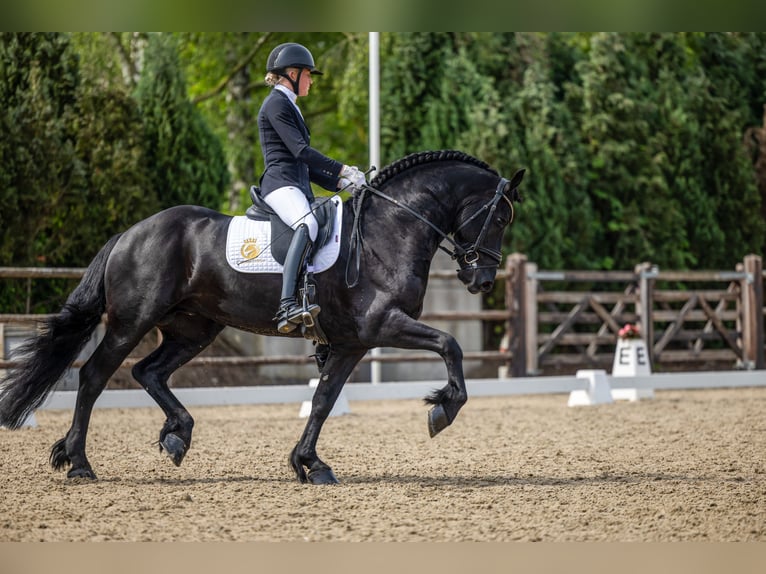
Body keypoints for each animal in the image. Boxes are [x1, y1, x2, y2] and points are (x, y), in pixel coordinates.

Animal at [0, 150, 524, 486]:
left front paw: (309, 464)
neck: (390, 229)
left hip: (194, 328)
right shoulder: (381, 325)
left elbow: (323, 401)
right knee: (94, 375)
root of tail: (130, 233)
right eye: (499, 218)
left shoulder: (352, 343)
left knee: (148, 371)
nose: (482, 281)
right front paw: (442, 409)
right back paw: (80, 464)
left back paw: (176, 436)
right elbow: (450, 344)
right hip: (133, 322)